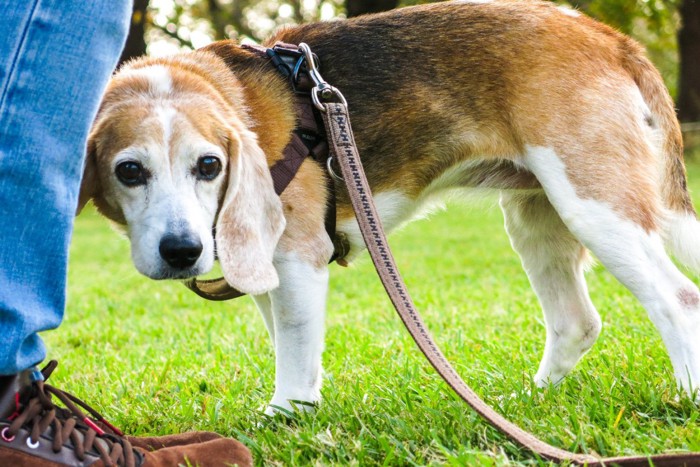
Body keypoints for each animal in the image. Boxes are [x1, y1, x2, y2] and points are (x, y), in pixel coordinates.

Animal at [79, 1, 700, 414]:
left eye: (208, 166)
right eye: (129, 171)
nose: (182, 252)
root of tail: (604, 34)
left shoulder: (299, 255)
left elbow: (295, 352)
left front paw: (287, 417)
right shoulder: (260, 263)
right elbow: (288, 341)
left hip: (594, 206)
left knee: (678, 299)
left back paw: (686, 397)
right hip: (534, 217)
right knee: (577, 322)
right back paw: (525, 403)